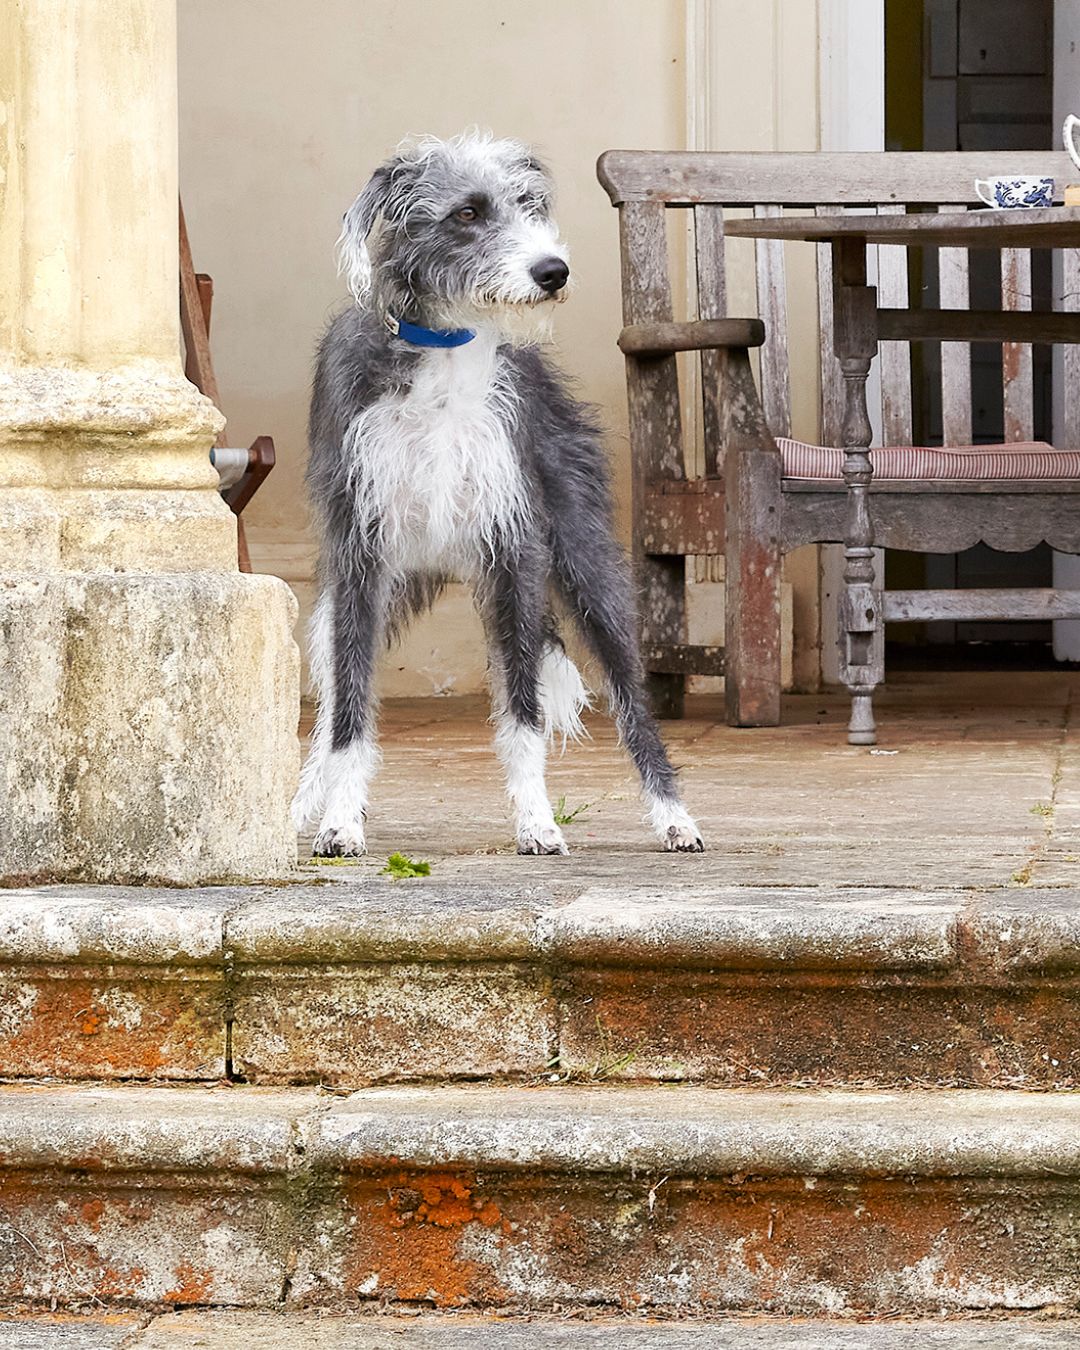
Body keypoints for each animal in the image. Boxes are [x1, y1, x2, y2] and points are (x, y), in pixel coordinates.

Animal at [291, 134, 702, 853]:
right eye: (468, 213)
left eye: (530, 204)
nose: (553, 271)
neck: (444, 352)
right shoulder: (360, 557)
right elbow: (348, 714)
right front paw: (340, 820)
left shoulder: (514, 552)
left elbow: (523, 712)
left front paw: (536, 820)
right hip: (358, 599)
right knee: (335, 698)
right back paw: (305, 802)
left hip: (586, 565)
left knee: (634, 703)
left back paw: (674, 817)